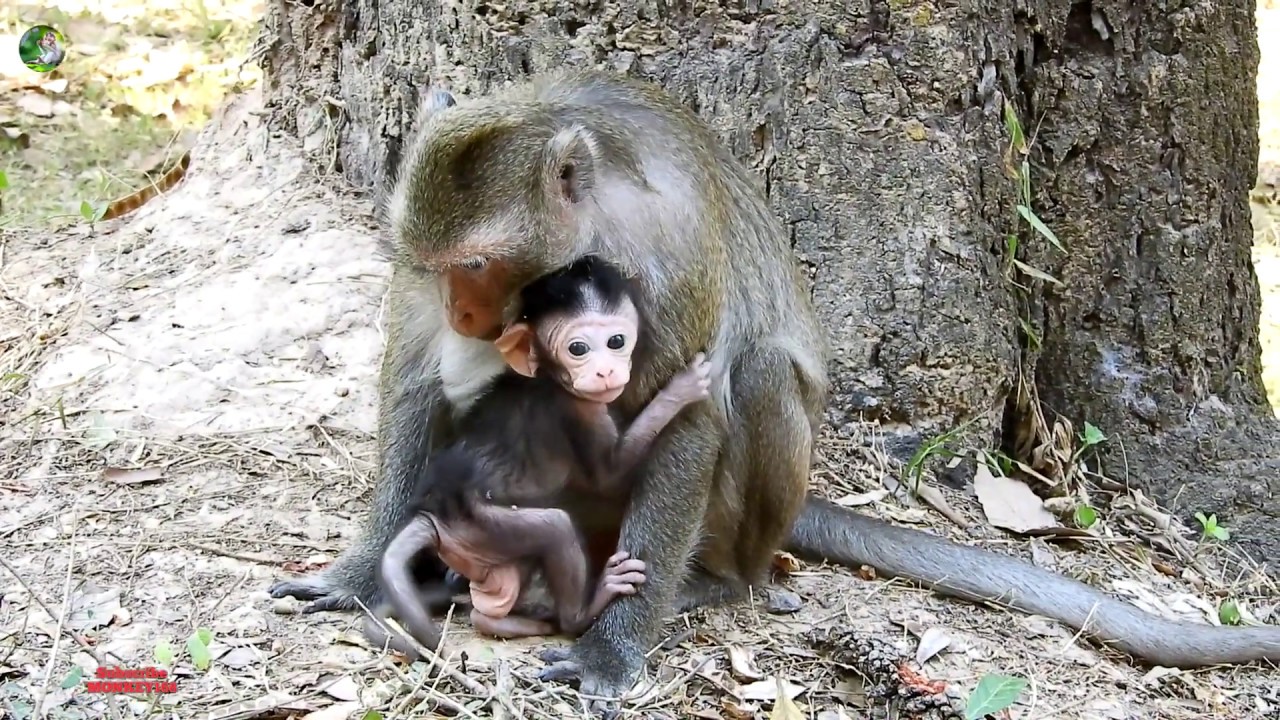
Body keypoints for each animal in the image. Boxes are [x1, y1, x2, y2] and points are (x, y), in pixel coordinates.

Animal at [361, 256, 714, 659]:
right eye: (578, 349)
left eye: (616, 341)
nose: (605, 371)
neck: (547, 374)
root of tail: (430, 518)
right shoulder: (577, 406)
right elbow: (610, 472)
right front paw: (681, 391)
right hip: (485, 526)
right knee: (554, 530)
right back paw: (581, 612)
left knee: (489, 602)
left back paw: (511, 620)